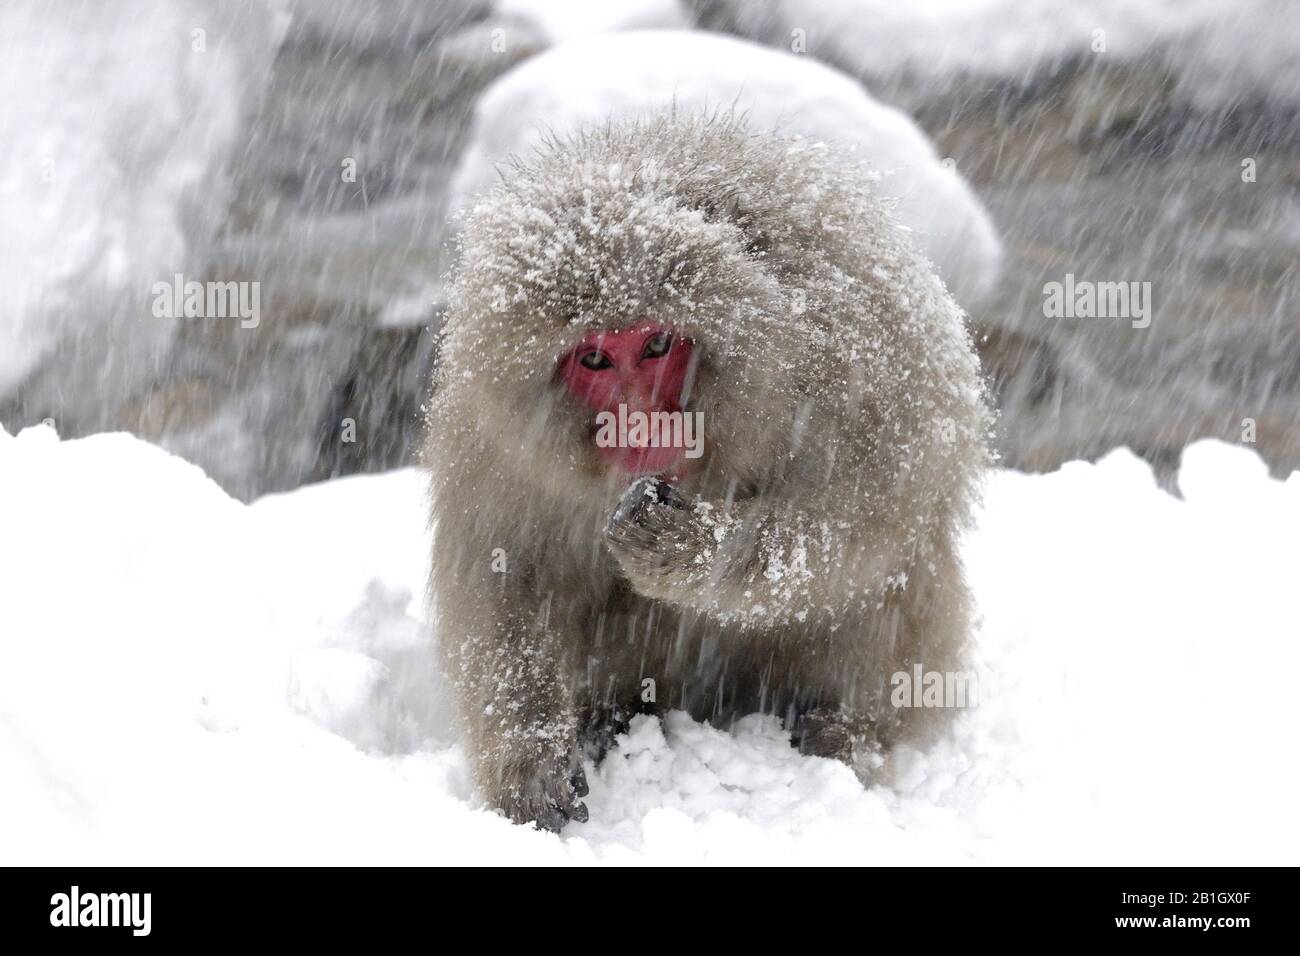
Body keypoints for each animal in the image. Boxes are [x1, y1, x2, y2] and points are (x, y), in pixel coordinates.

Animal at [426, 110, 982, 832]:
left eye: (658, 345)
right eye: (596, 359)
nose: (638, 423)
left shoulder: (850, 350)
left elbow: (865, 515)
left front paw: (688, 548)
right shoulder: (490, 432)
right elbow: (505, 573)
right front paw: (530, 768)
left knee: (882, 584)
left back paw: (848, 732)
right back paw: (613, 718)